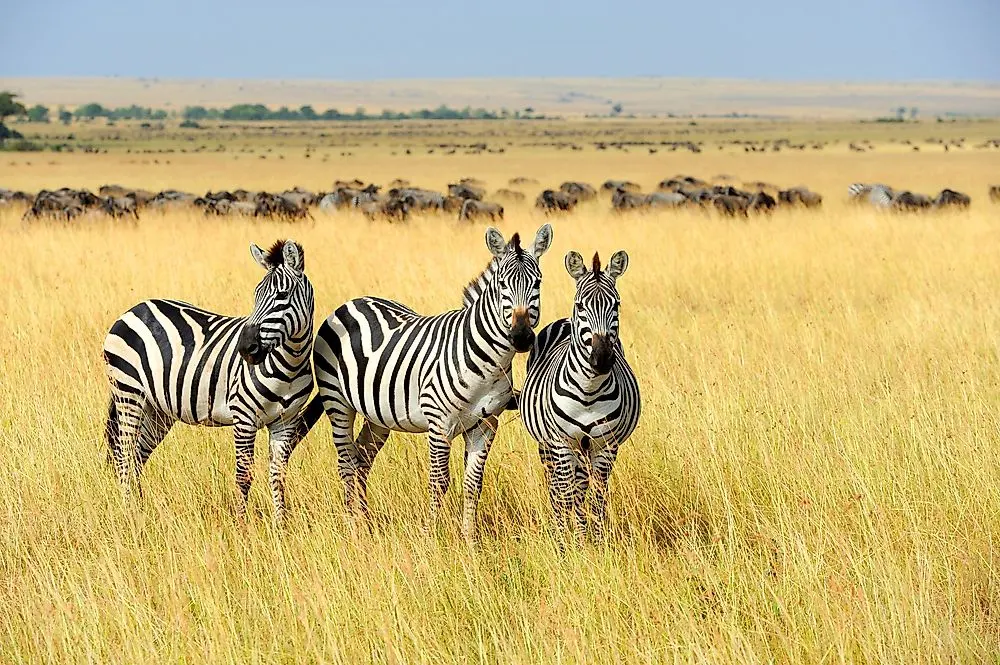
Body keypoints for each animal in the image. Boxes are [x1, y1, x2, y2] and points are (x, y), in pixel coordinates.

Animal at [102, 239, 315, 525]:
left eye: (282, 295)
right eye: (256, 295)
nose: (246, 348)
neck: (289, 365)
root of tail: (135, 308)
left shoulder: (286, 422)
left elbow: (278, 477)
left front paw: (281, 527)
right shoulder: (243, 417)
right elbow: (243, 476)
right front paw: (242, 526)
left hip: (157, 410)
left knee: (136, 458)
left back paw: (140, 512)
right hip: (129, 394)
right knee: (124, 457)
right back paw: (129, 515)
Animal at [294, 223, 553, 542]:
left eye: (537, 283)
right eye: (501, 285)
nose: (521, 337)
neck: (489, 363)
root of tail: (352, 302)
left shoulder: (486, 425)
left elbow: (474, 484)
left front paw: (469, 540)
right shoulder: (439, 423)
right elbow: (439, 482)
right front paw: (431, 536)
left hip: (377, 415)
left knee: (361, 459)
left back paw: (365, 523)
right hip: (337, 402)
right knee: (346, 462)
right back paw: (354, 527)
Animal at [518, 249, 640, 542]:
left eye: (616, 305)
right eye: (581, 306)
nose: (602, 359)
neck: (589, 389)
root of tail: (564, 320)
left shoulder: (606, 445)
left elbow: (596, 498)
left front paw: (595, 541)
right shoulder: (561, 443)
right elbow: (566, 494)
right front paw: (568, 542)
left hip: (585, 448)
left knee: (582, 486)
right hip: (549, 446)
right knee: (556, 487)